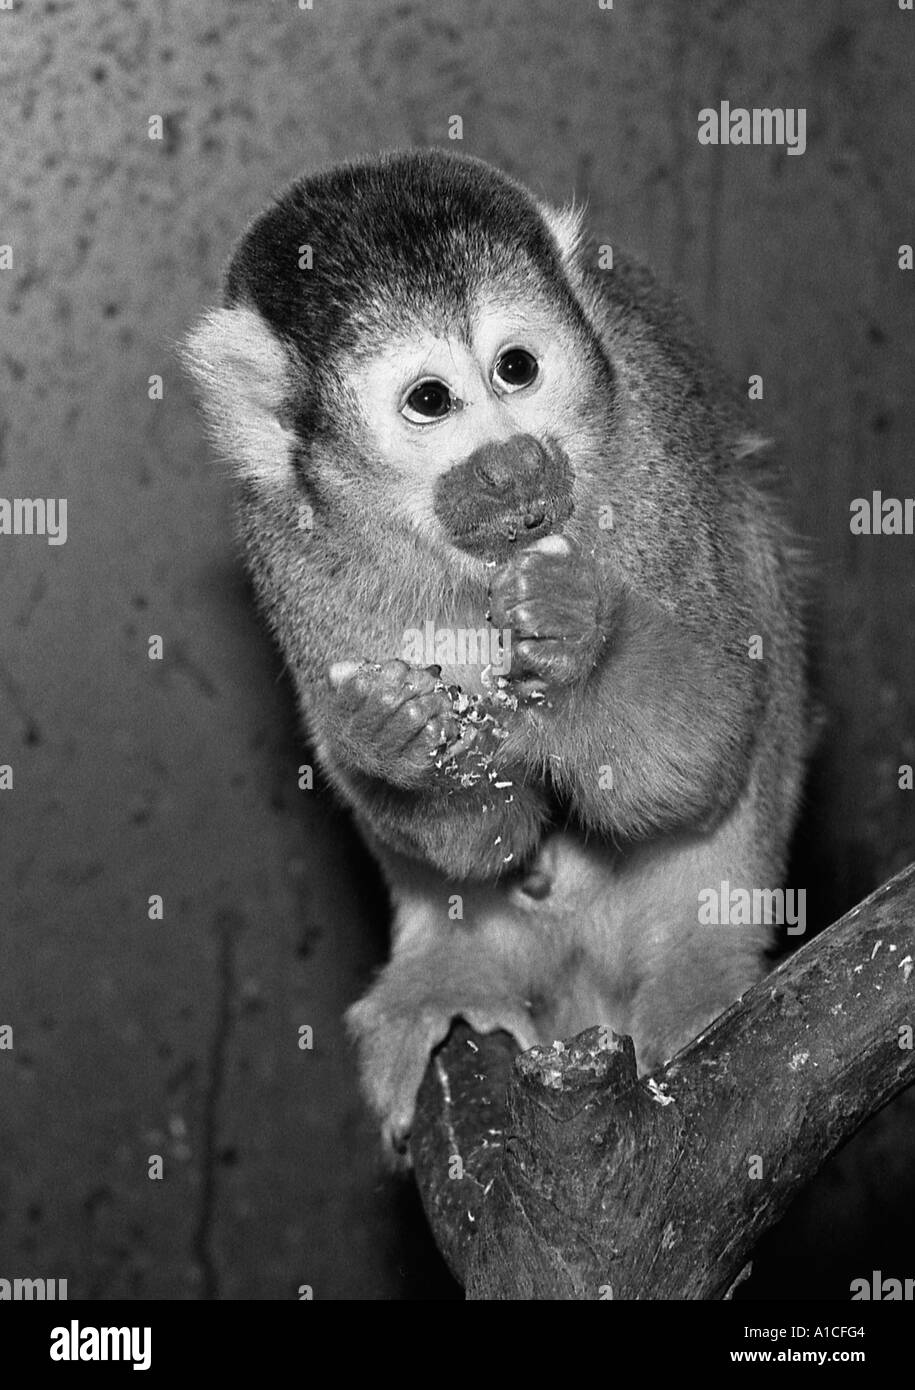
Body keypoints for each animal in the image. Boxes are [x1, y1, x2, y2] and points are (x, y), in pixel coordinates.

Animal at [183, 148, 810, 1158]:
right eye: (430, 401)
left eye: (517, 369)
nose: (512, 463)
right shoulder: (283, 540)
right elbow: (477, 835)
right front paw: (395, 736)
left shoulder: (650, 440)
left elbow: (695, 760)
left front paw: (582, 639)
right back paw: (451, 969)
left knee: (752, 549)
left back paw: (700, 959)